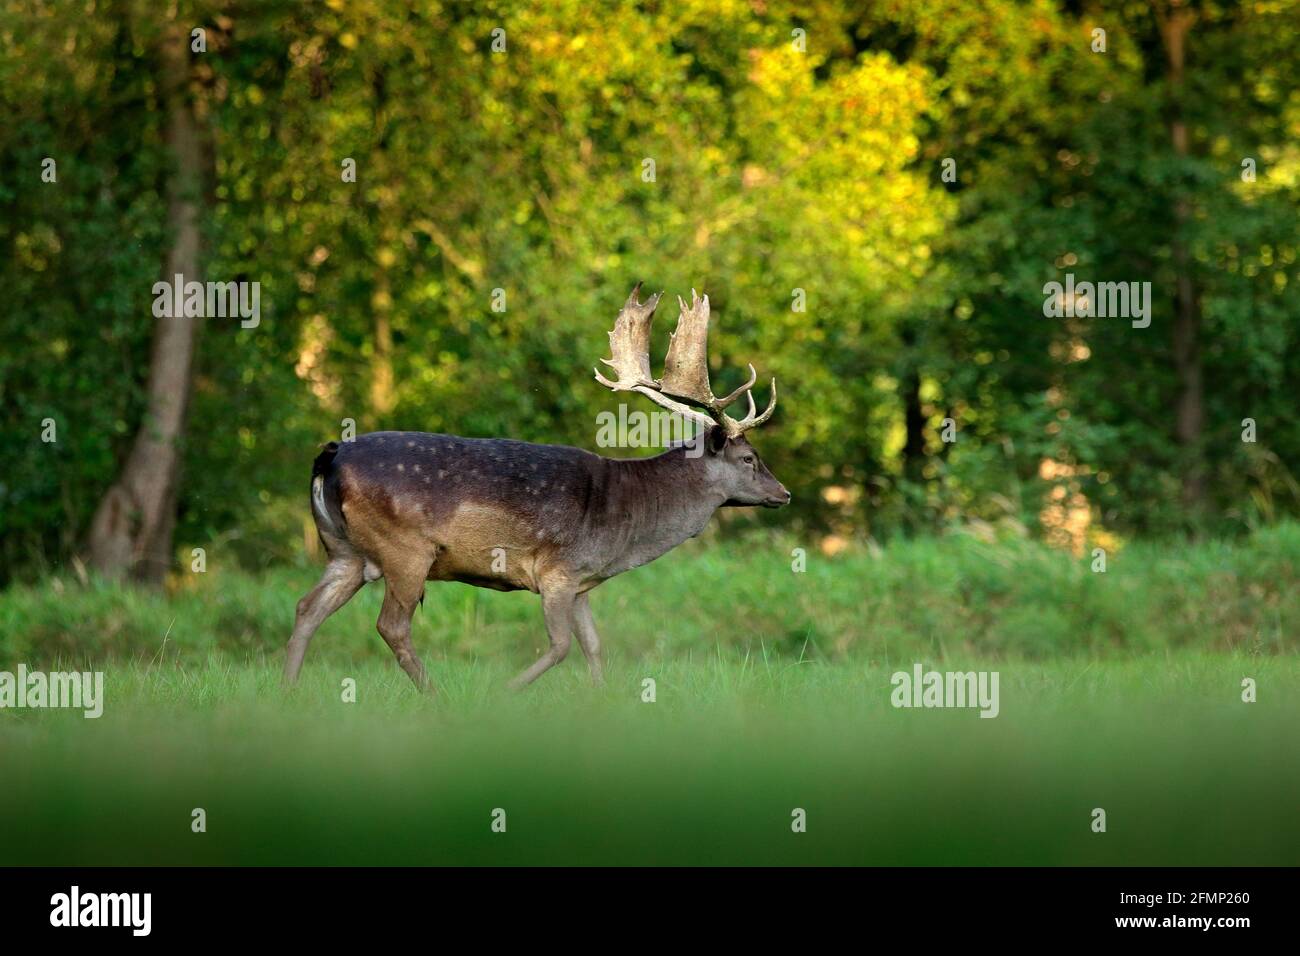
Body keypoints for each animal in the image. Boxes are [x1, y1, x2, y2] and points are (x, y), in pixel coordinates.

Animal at [286, 280, 785, 691]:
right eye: (748, 458)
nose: (784, 493)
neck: (624, 528)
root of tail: (331, 455)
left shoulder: (582, 581)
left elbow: (593, 646)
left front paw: (602, 700)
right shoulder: (556, 571)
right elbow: (561, 647)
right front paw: (506, 691)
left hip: (345, 551)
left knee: (307, 607)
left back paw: (289, 691)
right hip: (406, 549)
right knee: (391, 625)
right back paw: (436, 696)